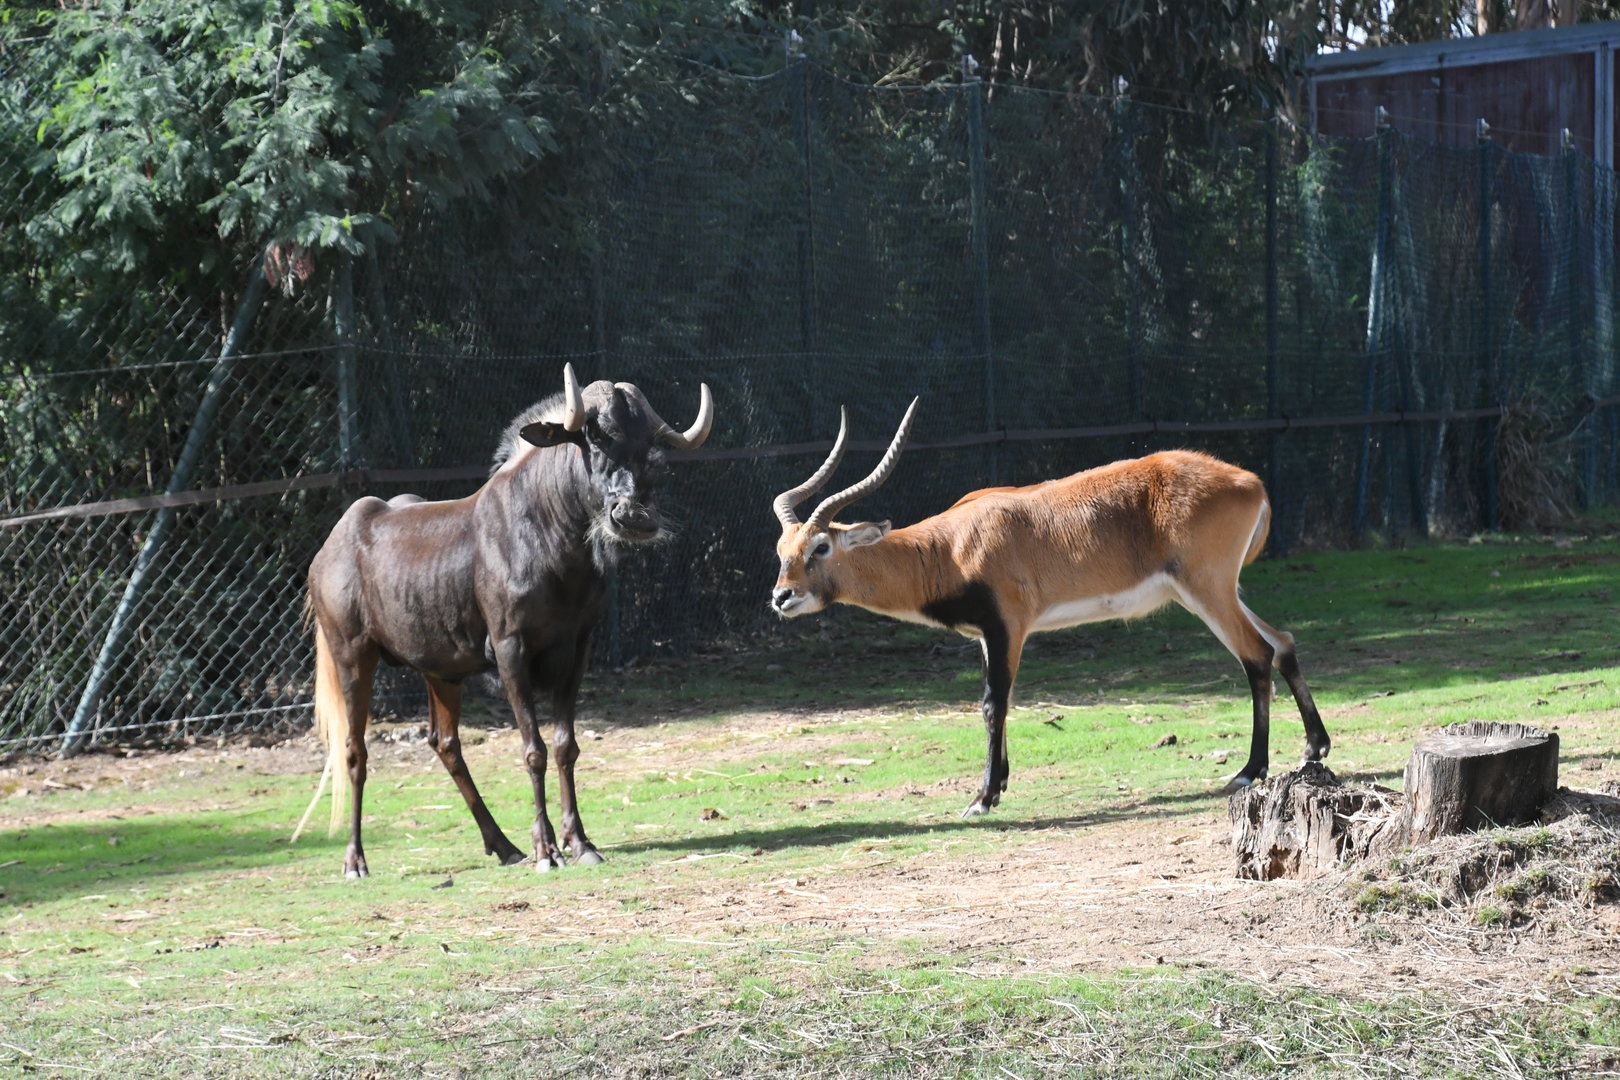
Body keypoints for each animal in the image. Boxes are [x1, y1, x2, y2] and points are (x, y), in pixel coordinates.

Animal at [769, 400, 1330, 816]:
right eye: (782, 550)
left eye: (821, 547)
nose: (781, 597)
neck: (949, 548)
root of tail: (1250, 482)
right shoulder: (987, 637)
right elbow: (998, 702)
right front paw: (999, 785)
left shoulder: (1009, 627)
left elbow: (992, 704)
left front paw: (982, 798)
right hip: (1220, 592)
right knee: (1283, 642)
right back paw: (1313, 749)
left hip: (1207, 592)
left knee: (1256, 655)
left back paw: (1248, 771)